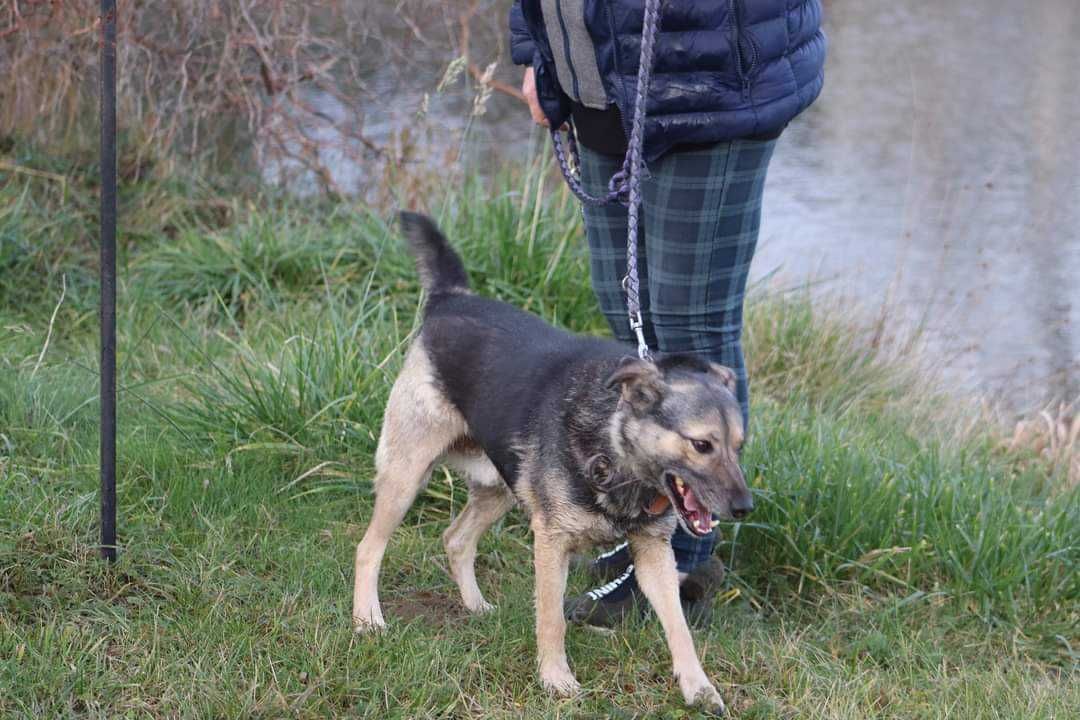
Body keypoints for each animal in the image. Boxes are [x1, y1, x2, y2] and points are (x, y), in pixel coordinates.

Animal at [354, 211, 751, 712]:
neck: (616, 449)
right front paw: (556, 680)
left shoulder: (654, 555)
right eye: (701, 445)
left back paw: (474, 605)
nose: (744, 508)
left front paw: (698, 687)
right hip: (406, 476)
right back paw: (367, 619)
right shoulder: (551, 542)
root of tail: (452, 298)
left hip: (497, 487)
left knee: (455, 539)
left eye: (739, 445)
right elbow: (551, 618)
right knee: (368, 548)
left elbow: (679, 627)